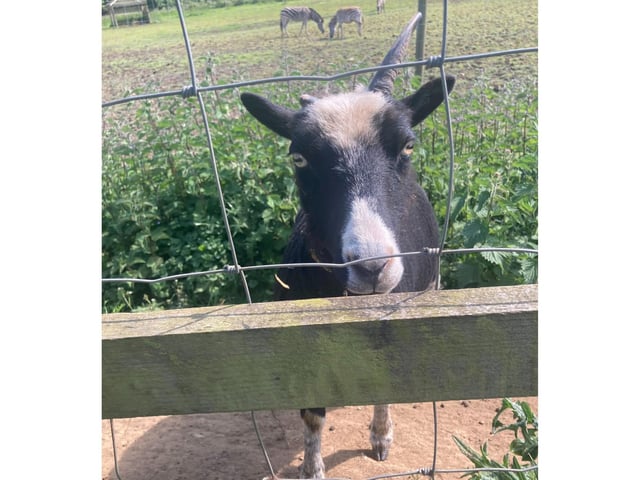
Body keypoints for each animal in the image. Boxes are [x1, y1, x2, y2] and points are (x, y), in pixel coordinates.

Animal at [240, 13, 455, 479]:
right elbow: (312, 415)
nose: (373, 266)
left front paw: (381, 438)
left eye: (408, 145)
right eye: (299, 158)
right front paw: (312, 467)